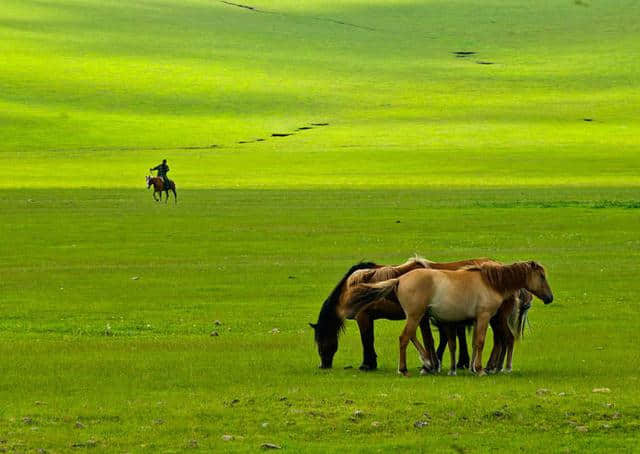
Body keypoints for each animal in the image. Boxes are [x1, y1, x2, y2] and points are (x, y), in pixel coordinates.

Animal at [348, 260, 552, 378]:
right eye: (541, 276)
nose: (550, 298)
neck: (492, 282)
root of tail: (399, 279)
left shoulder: (477, 319)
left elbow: (473, 343)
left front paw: (472, 368)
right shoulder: (484, 317)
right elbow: (480, 342)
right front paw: (479, 370)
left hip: (417, 316)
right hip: (415, 316)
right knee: (404, 338)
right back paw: (405, 369)